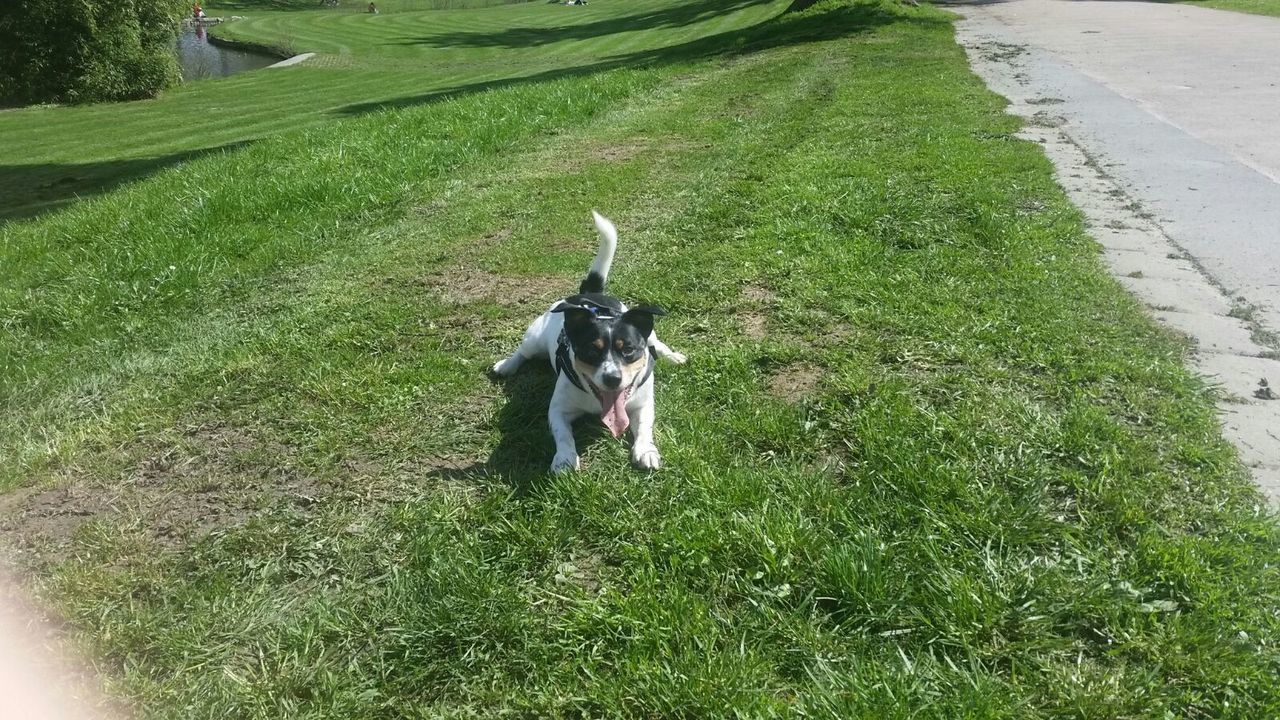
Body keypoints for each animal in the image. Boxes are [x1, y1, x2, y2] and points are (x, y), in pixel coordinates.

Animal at [491, 210, 691, 474]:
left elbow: (645, 429)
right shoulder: (558, 409)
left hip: (651, 335)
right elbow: (563, 434)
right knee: (522, 352)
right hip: (534, 338)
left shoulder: (643, 405)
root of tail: (589, 294)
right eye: (591, 351)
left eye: (628, 349)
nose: (612, 378)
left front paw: (646, 451)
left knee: (657, 344)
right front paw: (564, 458)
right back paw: (506, 365)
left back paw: (673, 356)